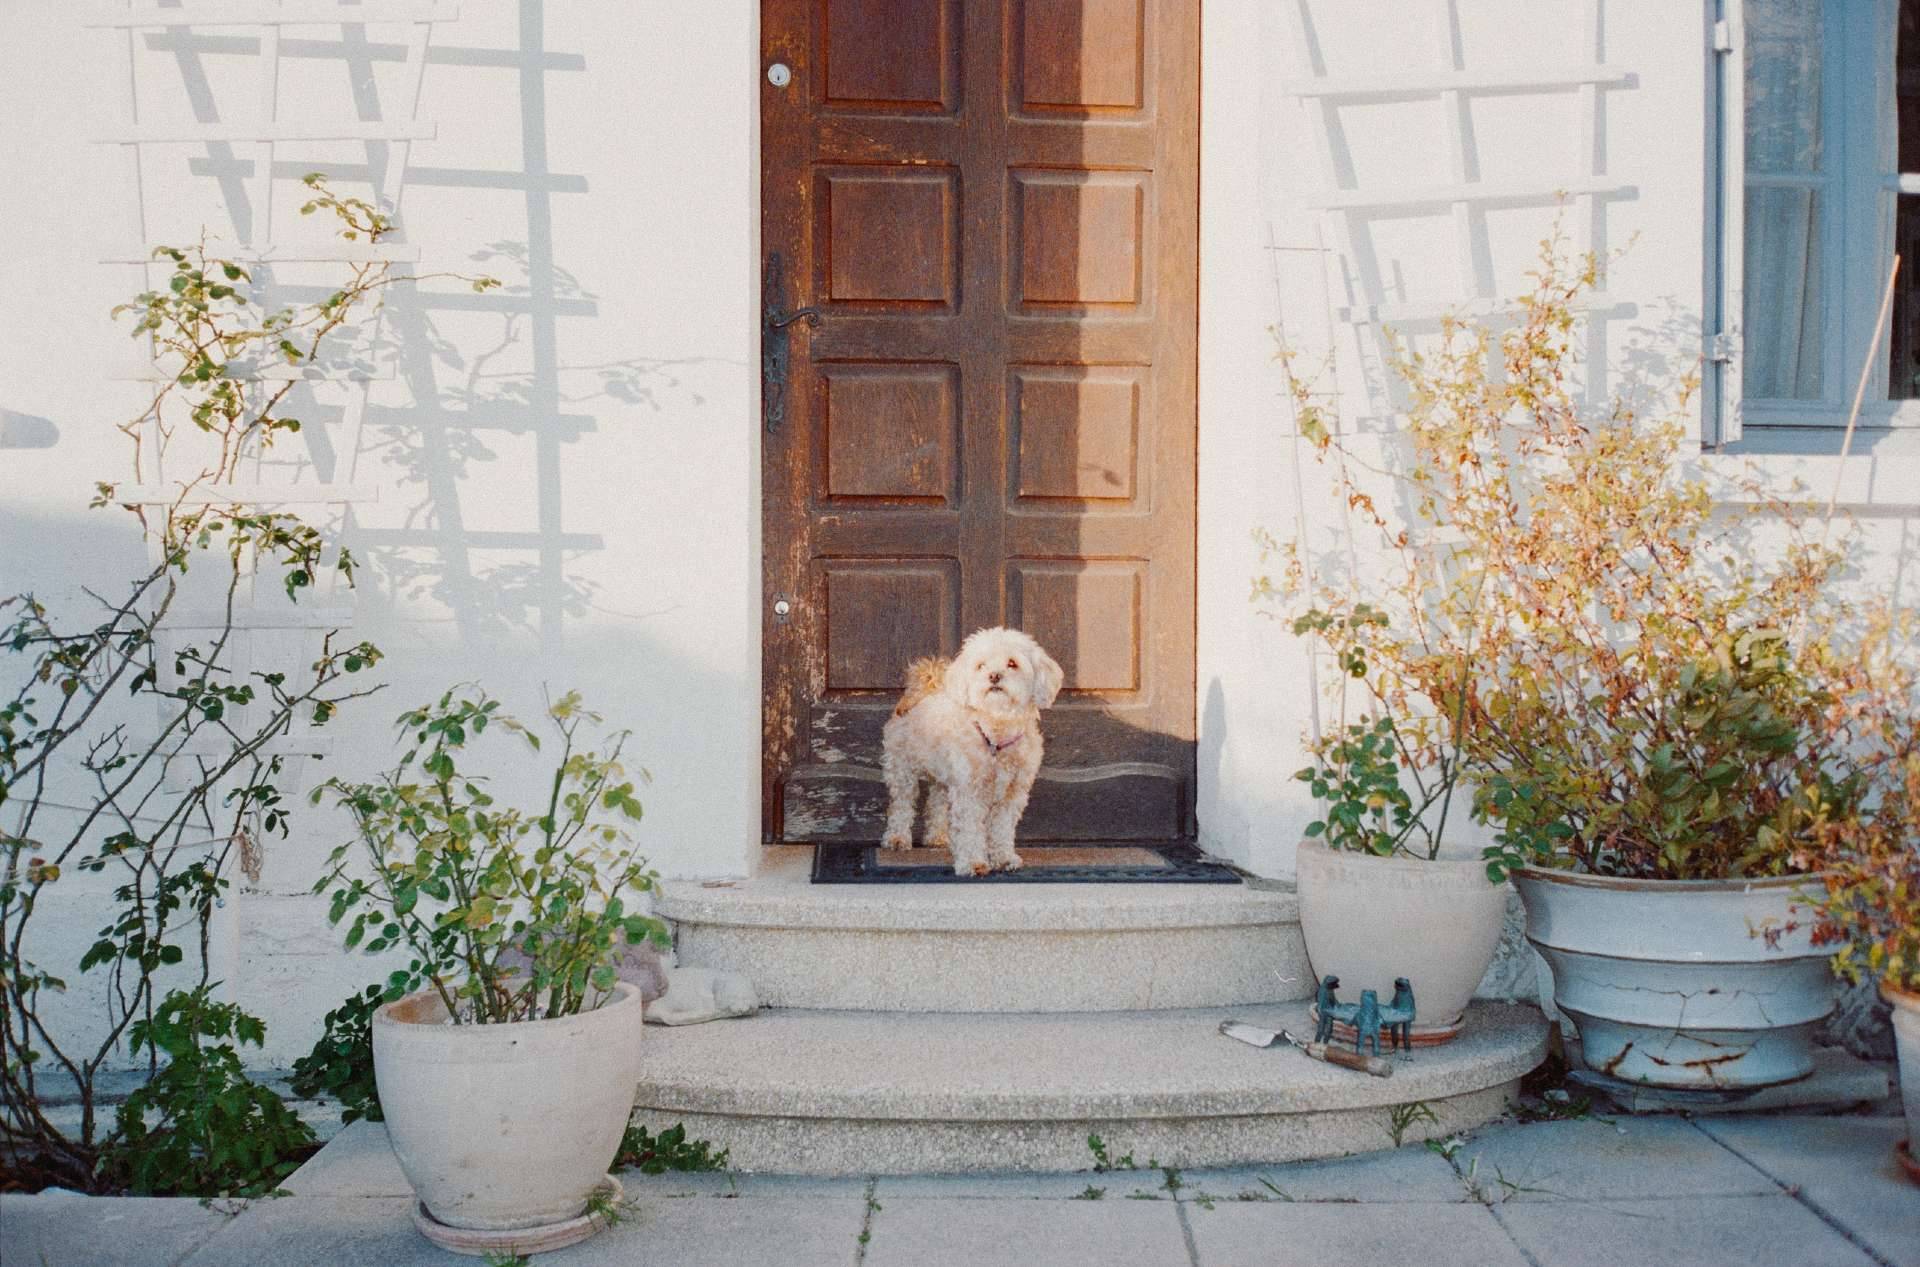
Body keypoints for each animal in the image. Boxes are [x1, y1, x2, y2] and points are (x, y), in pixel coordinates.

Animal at [879, 625, 1067, 879]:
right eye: (981, 665)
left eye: (1012, 663)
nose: (994, 676)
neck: (996, 732)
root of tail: (922, 691)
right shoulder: (970, 791)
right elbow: (969, 828)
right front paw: (973, 863)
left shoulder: (1012, 794)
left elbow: (1002, 828)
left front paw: (1004, 858)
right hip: (902, 769)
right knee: (901, 804)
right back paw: (897, 838)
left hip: (944, 775)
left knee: (937, 802)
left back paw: (937, 837)